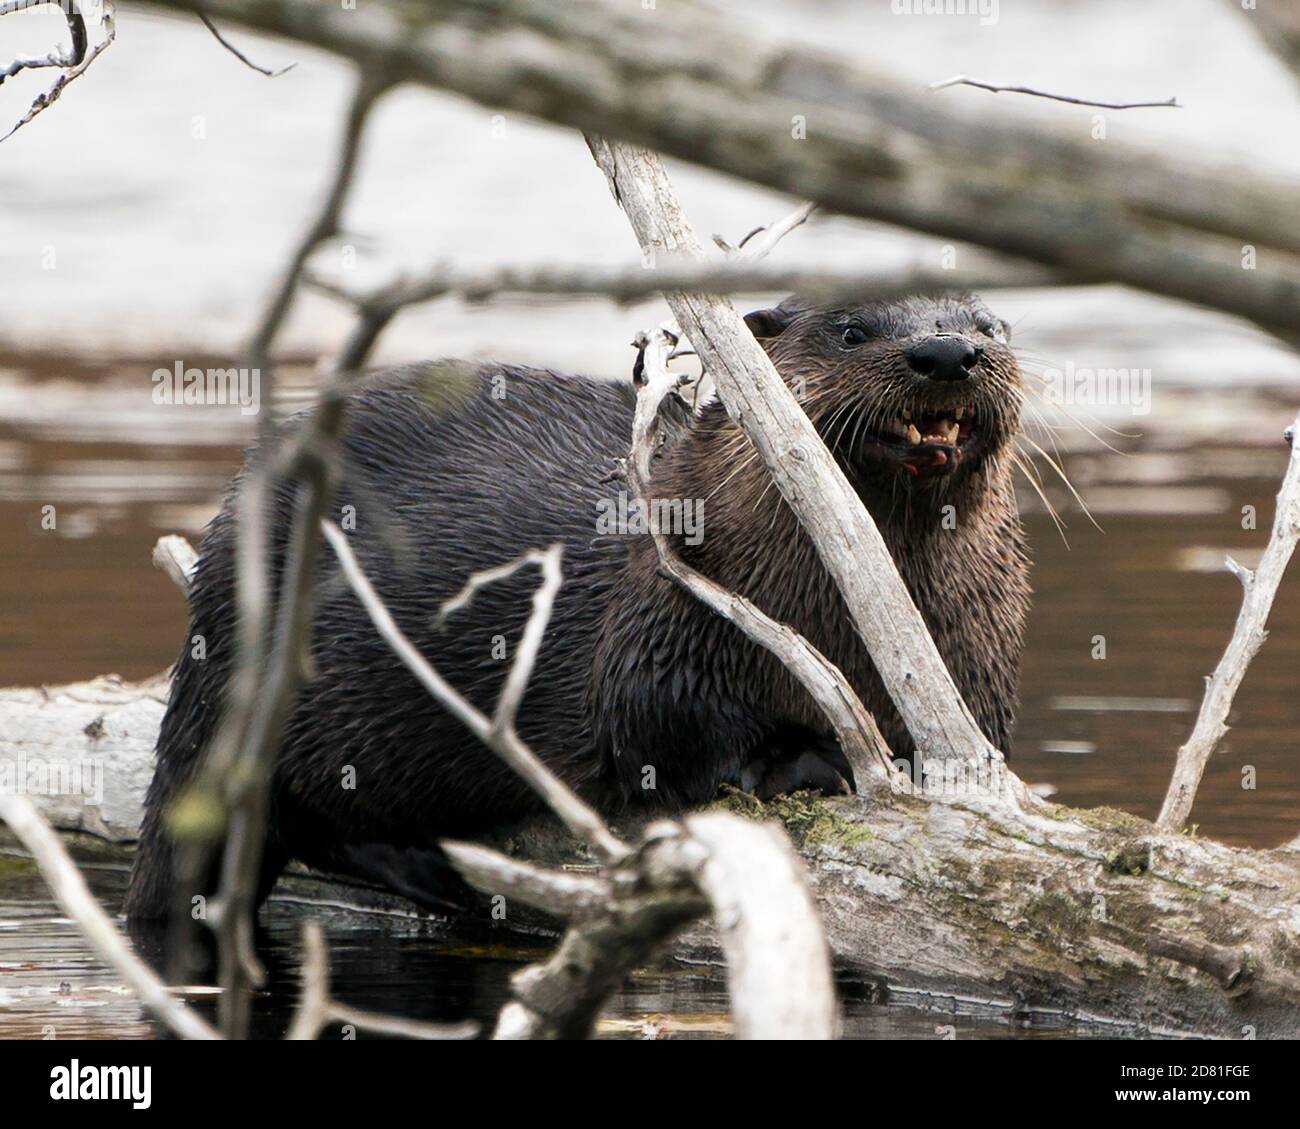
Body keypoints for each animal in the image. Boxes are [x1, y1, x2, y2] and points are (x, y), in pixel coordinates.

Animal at [125, 294, 1030, 919]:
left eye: (990, 324)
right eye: (851, 329)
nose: (946, 351)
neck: (846, 617)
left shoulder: (983, 652)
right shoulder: (662, 617)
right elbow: (661, 721)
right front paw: (803, 757)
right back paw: (426, 866)